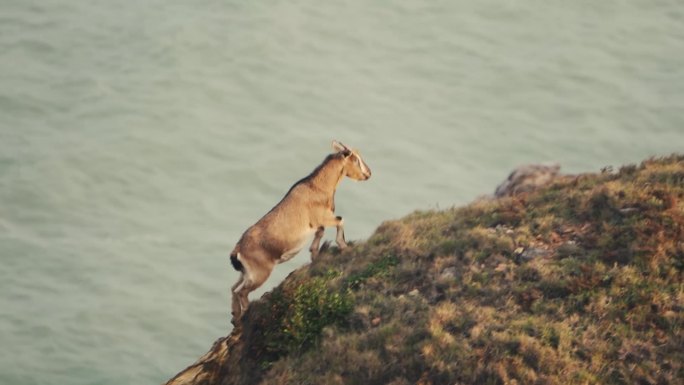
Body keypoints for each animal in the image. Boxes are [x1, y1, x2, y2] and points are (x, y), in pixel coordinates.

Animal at [230, 139, 372, 320]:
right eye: (356, 159)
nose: (368, 174)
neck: (318, 186)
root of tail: (237, 250)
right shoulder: (323, 217)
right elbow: (340, 221)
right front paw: (342, 245)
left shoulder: (318, 223)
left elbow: (321, 232)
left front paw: (315, 254)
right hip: (260, 273)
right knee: (241, 292)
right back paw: (246, 314)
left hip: (246, 272)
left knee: (234, 288)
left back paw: (235, 316)